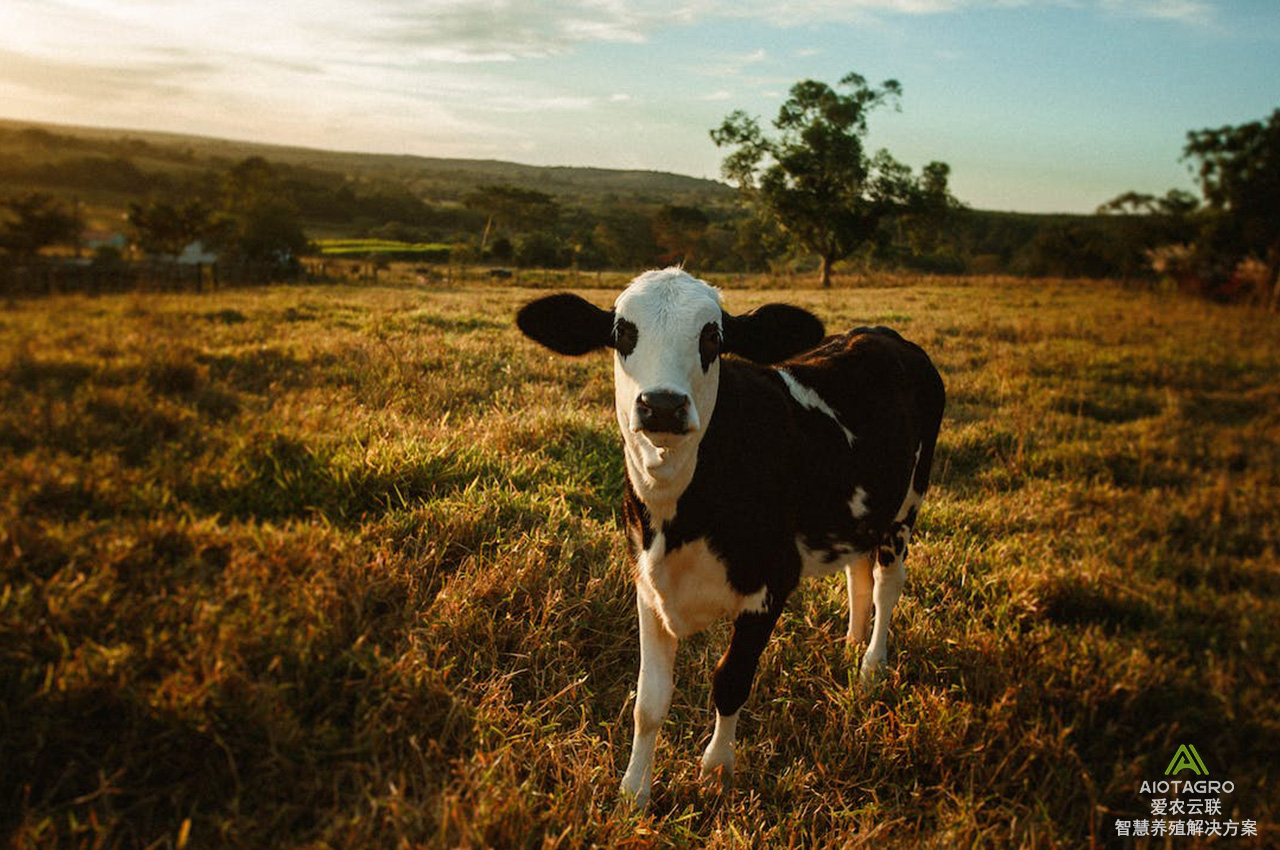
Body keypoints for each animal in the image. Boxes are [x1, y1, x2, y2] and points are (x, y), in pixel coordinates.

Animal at [514, 268, 947, 809]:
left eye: (712, 338)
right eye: (622, 334)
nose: (662, 404)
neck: (678, 516)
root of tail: (880, 332)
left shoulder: (772, 585)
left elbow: (730, 680)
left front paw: (717, 770)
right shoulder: (647, 583)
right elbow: (648, 701)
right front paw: (634, 792)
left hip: (907, 503)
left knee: (888, 584)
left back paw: (871, 665)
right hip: (863, 512)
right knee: (858, 574)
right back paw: (850, 645)